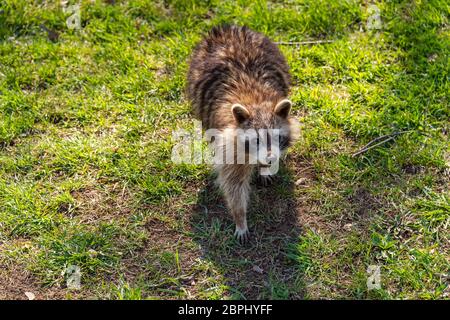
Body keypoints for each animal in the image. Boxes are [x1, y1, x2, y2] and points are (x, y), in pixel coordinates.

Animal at [186, 25, 298, 244]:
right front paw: (240, 217)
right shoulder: (229, 146)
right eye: (256, 140)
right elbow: (233, 184)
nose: (270, 159)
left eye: (277, 137)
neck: (255, 102)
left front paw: (265, 168)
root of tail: (226, 29)